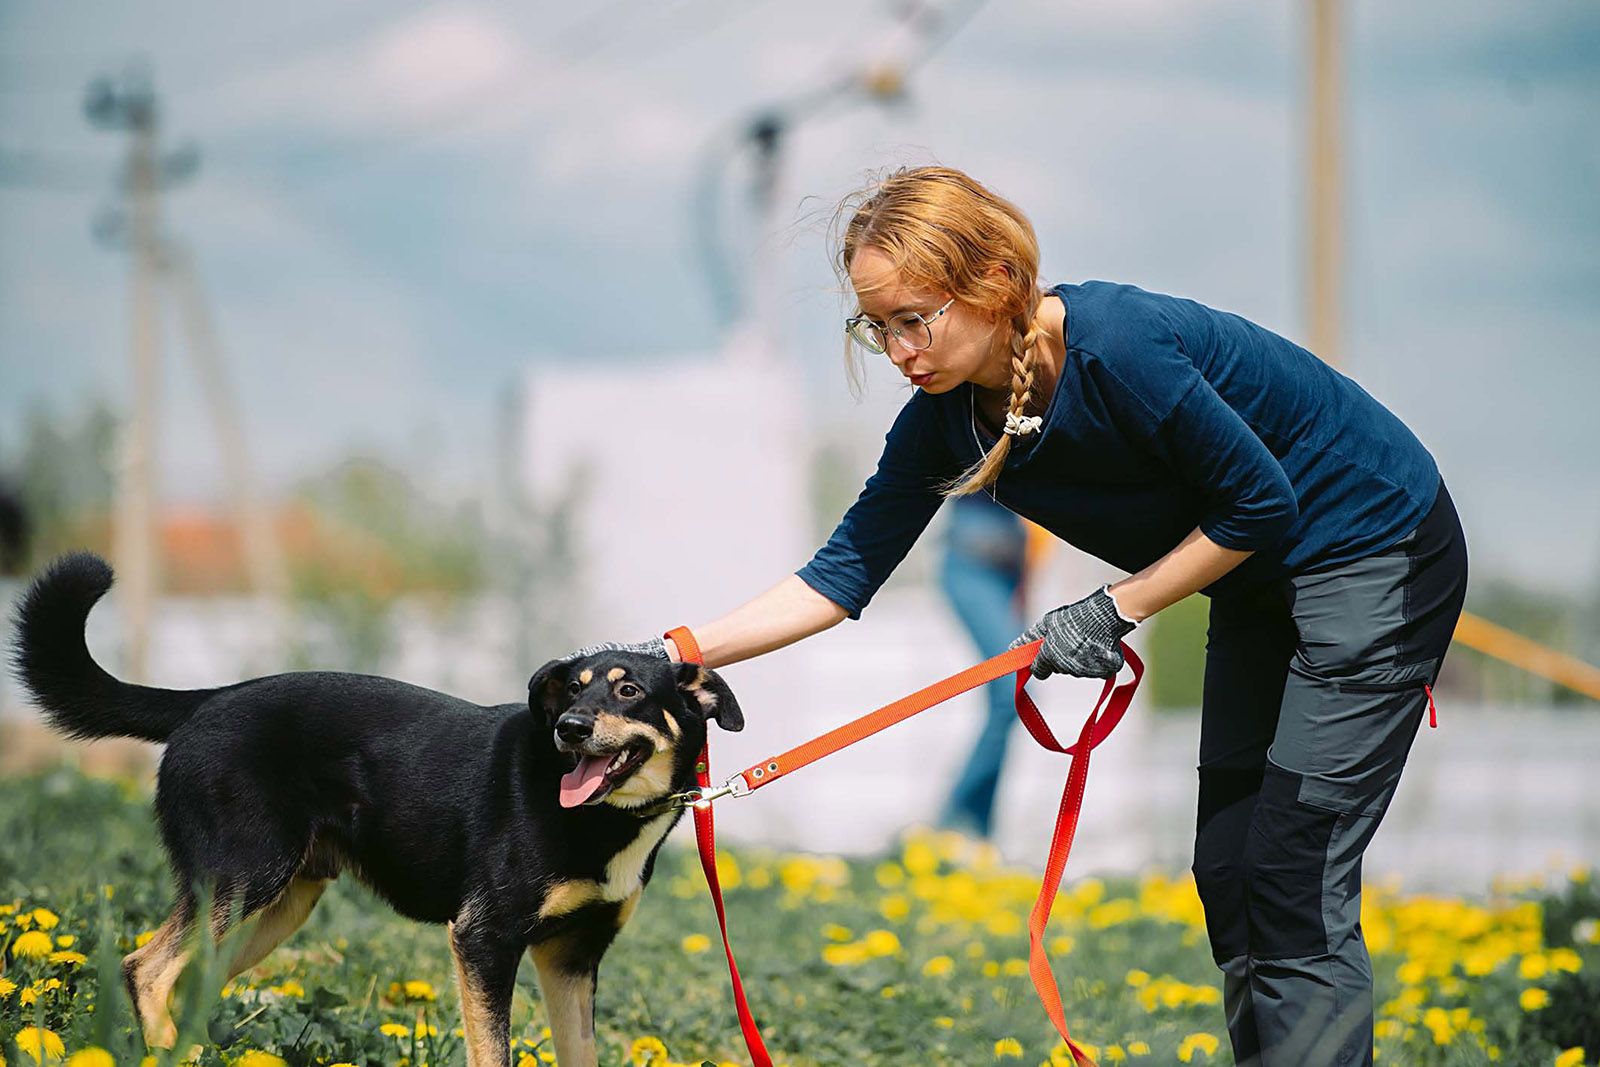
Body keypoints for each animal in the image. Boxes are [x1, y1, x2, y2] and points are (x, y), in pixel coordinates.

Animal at [10, 552, 743, 1067]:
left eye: (628, 690)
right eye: (573, 688)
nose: (568, 727)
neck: (606, 818)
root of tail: (209, 698)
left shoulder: (571, 957)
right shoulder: (483, 939)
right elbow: (492, 1050)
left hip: (275, 908)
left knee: (183, 981)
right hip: (241, 880)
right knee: (145, 968)